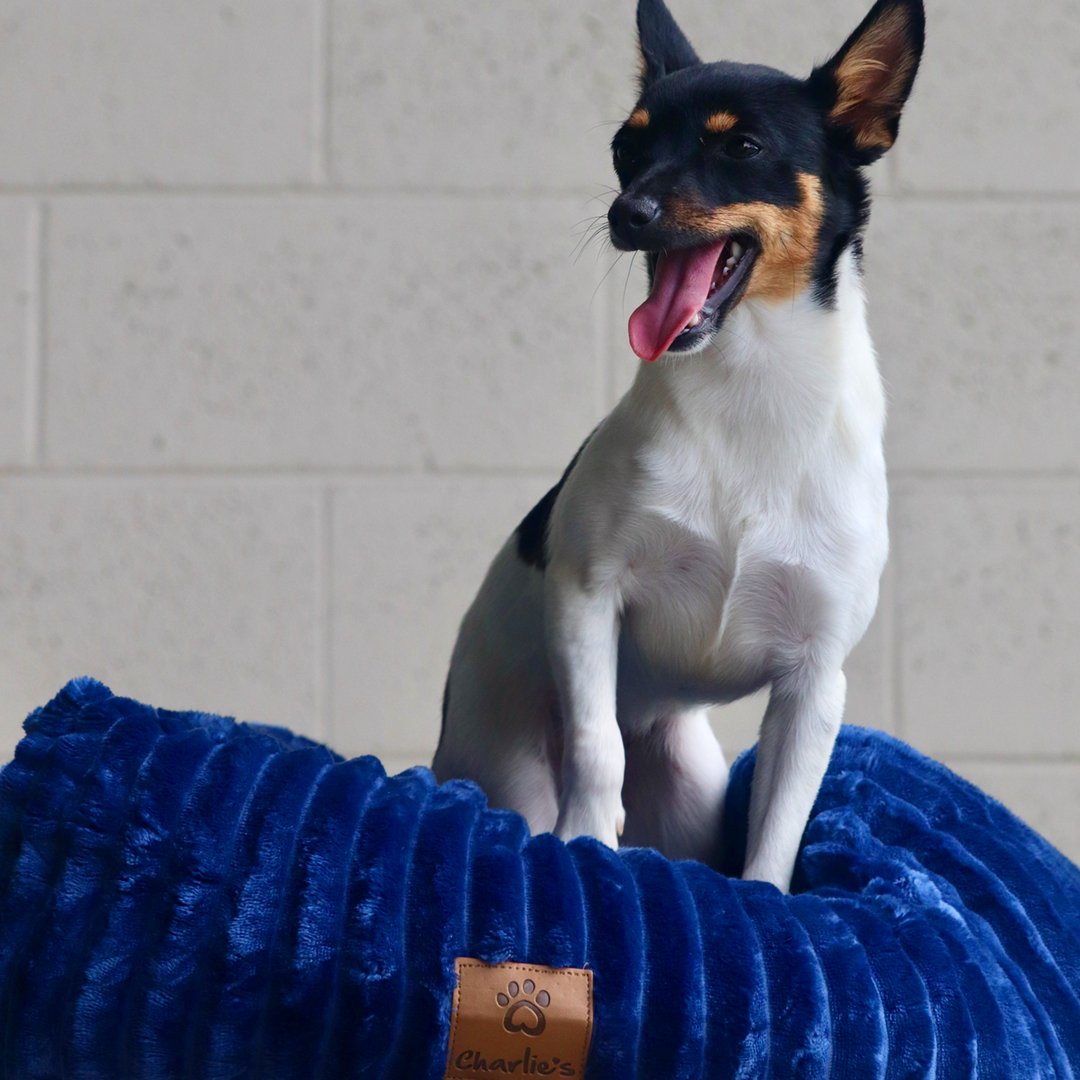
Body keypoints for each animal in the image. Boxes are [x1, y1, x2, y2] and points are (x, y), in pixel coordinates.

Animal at [434, 0, 923, 893]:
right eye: (625, 150)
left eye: (742, 148)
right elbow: (597, 750)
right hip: (508, 765)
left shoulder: (814, 683)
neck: (749, 385)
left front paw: (761, 899)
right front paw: (585, 847)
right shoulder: (587, 598)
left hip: (692, 792)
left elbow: (779, 826)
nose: (626, 214)